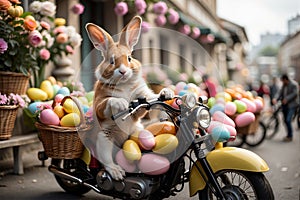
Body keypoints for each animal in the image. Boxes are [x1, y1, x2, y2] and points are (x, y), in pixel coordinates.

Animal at [84, 16, 173, 180]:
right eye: (112, 61)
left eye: (129, 58)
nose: (123, 71)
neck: (123, 84)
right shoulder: (100, 103)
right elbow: (106, 103)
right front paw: (121, 103)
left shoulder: (142, 97)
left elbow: (150, 98)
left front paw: (166, 92)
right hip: (104, 138)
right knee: (106, 160)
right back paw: (117, 172)